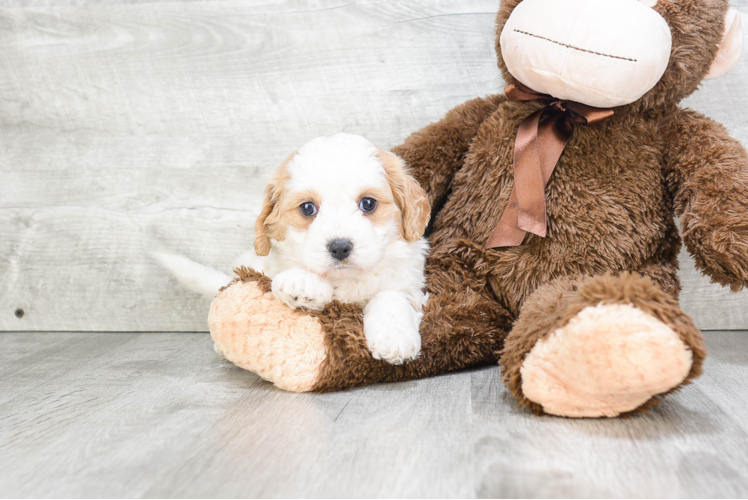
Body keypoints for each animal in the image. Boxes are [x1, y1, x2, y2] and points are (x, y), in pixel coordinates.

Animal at [155, 133, 430, 364]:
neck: (344, 280)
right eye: (307, 208)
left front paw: (393, 338)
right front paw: (303, 285)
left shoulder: (409, 283)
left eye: (369, 204)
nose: (340, 247)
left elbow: (390, 296)